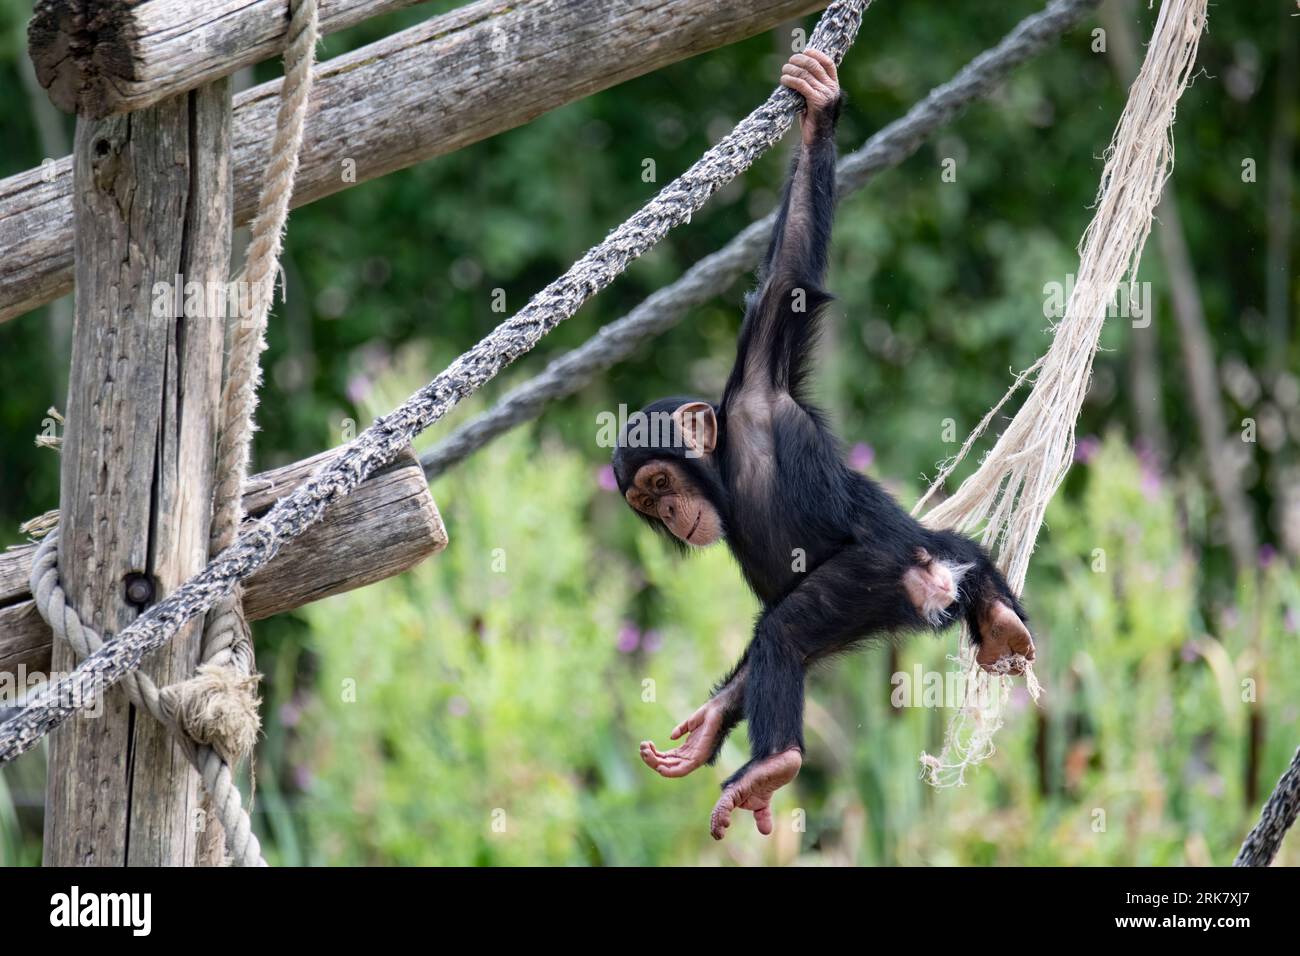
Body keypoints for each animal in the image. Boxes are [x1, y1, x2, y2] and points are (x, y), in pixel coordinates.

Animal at [611, 49, 1035, 840]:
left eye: (658, 484)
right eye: (646, 503)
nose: (668, 511)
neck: (724, 468)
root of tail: (929, 578)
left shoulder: (759, 381)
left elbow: (789, 281)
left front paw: (818, 114)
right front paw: (710, 725)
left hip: (874, 571)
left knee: (784, 633)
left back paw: (772, 762)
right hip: (889, 596)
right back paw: (997, 623)